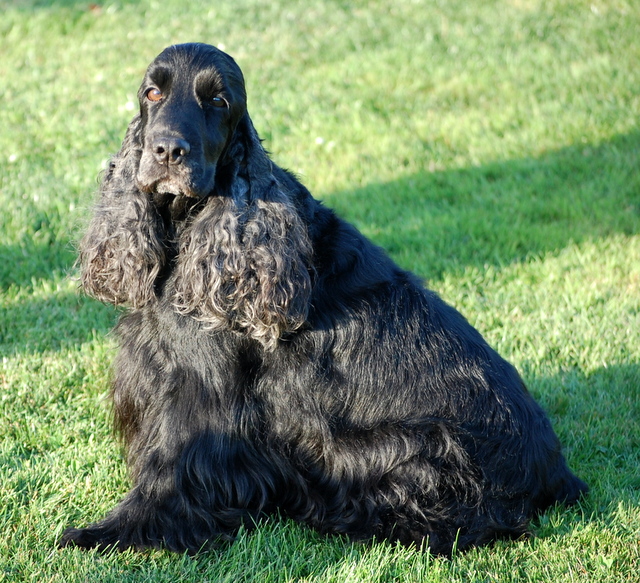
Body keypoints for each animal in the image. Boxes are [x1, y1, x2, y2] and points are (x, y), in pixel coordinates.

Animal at [58, 42, 584, 556]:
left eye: (219, 100)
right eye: (152, 92)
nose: (168, 149)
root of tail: (557, 474)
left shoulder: (198, 389)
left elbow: (171, 467)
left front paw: (112, 533)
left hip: (421, 446)